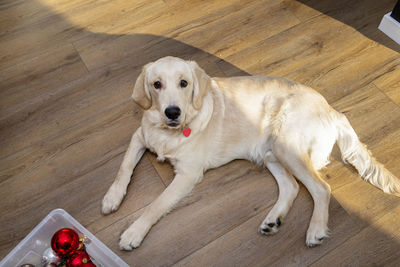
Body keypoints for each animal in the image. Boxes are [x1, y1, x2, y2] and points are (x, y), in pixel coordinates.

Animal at [102, 55, 400, 250]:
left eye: (184, 83)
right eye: (156, 84)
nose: (172, 112)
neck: (168, 132)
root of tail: (333, 110)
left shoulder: (187, 174)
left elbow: (156, 204)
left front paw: (133, 232)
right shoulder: (139, 137)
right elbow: (123, 168)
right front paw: (112, 198)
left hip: (287, 147)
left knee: (321, 188)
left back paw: (316, 229)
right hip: (272, 153)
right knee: (292, 187)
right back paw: (272, 220)